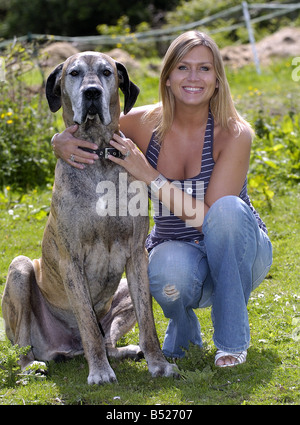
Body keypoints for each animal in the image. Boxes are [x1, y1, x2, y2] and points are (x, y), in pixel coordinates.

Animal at [1, 51, 176, 382]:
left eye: (107, 72)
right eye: (74, 73)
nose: (92, 92)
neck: (99, 156)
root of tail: (68, 348)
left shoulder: (137, 254)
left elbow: (148, 324)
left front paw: (158, 364)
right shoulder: (72, 261)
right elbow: (87, 323)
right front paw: (100, 373)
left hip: (125, 288)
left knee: (109, 339)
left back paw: (127, 351)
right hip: (20, 270)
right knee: (24, 345)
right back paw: (31, 366)